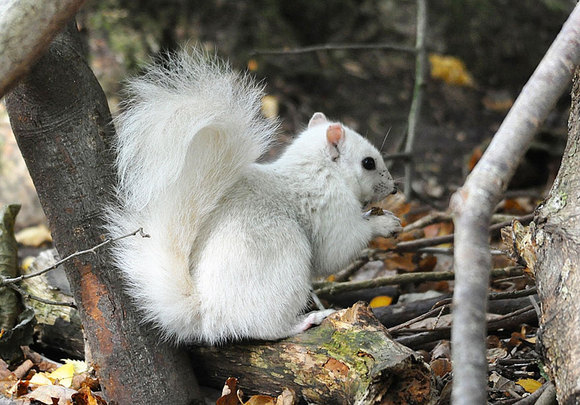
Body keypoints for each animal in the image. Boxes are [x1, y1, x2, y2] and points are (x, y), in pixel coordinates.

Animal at [106, 49, 402, 342]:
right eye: (368, 163)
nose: (394, 188)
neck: (318, 168)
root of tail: (207, 313)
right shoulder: (330, 205)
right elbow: (338, 250)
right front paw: (383, 223)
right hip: (284, 262)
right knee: (265, 328)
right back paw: (304, 320)